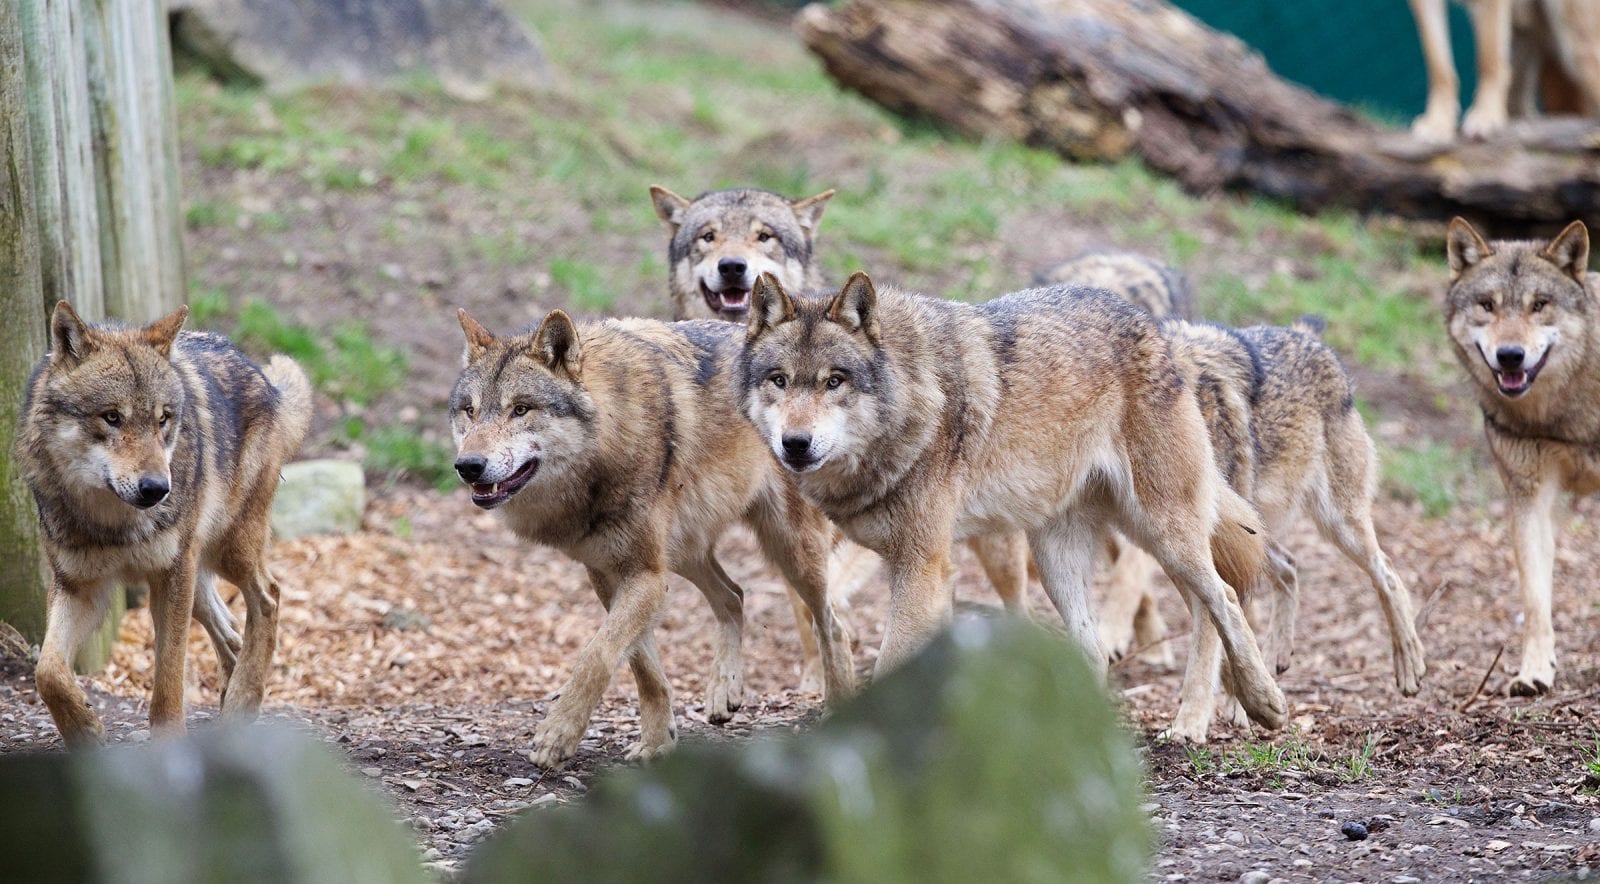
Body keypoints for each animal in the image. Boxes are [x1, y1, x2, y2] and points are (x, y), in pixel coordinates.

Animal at [17, 304, 310, 746]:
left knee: (269, 596)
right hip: (199, 578)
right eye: (112, 417)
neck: (114, 523)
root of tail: (262, 376)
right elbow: (47, 672)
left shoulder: (170, 577)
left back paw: (243, 698)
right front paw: (85, 730)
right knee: (231, 632)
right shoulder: (79, 586)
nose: (157, 488)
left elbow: (169, 681)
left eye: (163, 419)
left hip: (229, 554)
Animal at [444, 305, 857, 765]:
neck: (604, 447)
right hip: (686, 553)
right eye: (470, 411)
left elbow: (596, 656)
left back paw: (837, 706)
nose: (469, 466)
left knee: (832, 625)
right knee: (734, 596)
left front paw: (558, 733)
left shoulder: (645, 576)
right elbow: (644, 669)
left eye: (520, 409)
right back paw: (723, 691)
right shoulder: (610, 575)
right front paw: (658, 742)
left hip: (790, 552)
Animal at [745, 272, 1286, 743]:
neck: (914, 395)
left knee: (1222, 598)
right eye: (779, 380)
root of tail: (1157, 330)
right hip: (1058, 558)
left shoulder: (922, 566)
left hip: (1162, 533)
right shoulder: (924, 570)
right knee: (1098, 649)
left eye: (834, 381)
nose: (795, 443)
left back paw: (1254, 705)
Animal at [1446, 217, 1593, 695]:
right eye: (1487, 305)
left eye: (1539, 306)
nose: (1511, 355)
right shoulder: (1530, 495)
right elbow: (1534, 597)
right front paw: (1534, 671)